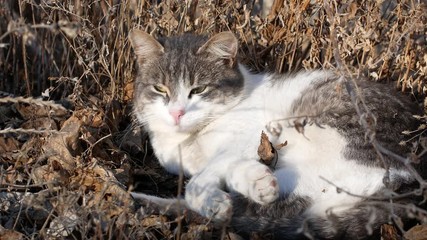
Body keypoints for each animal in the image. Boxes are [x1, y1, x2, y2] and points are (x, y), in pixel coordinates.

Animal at [129, 30, 426, 240]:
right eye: (160, 89)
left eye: (198, 90)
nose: (177, 113)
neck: (188, 140)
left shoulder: (250, 135)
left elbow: (200, 180)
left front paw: (215, 198)